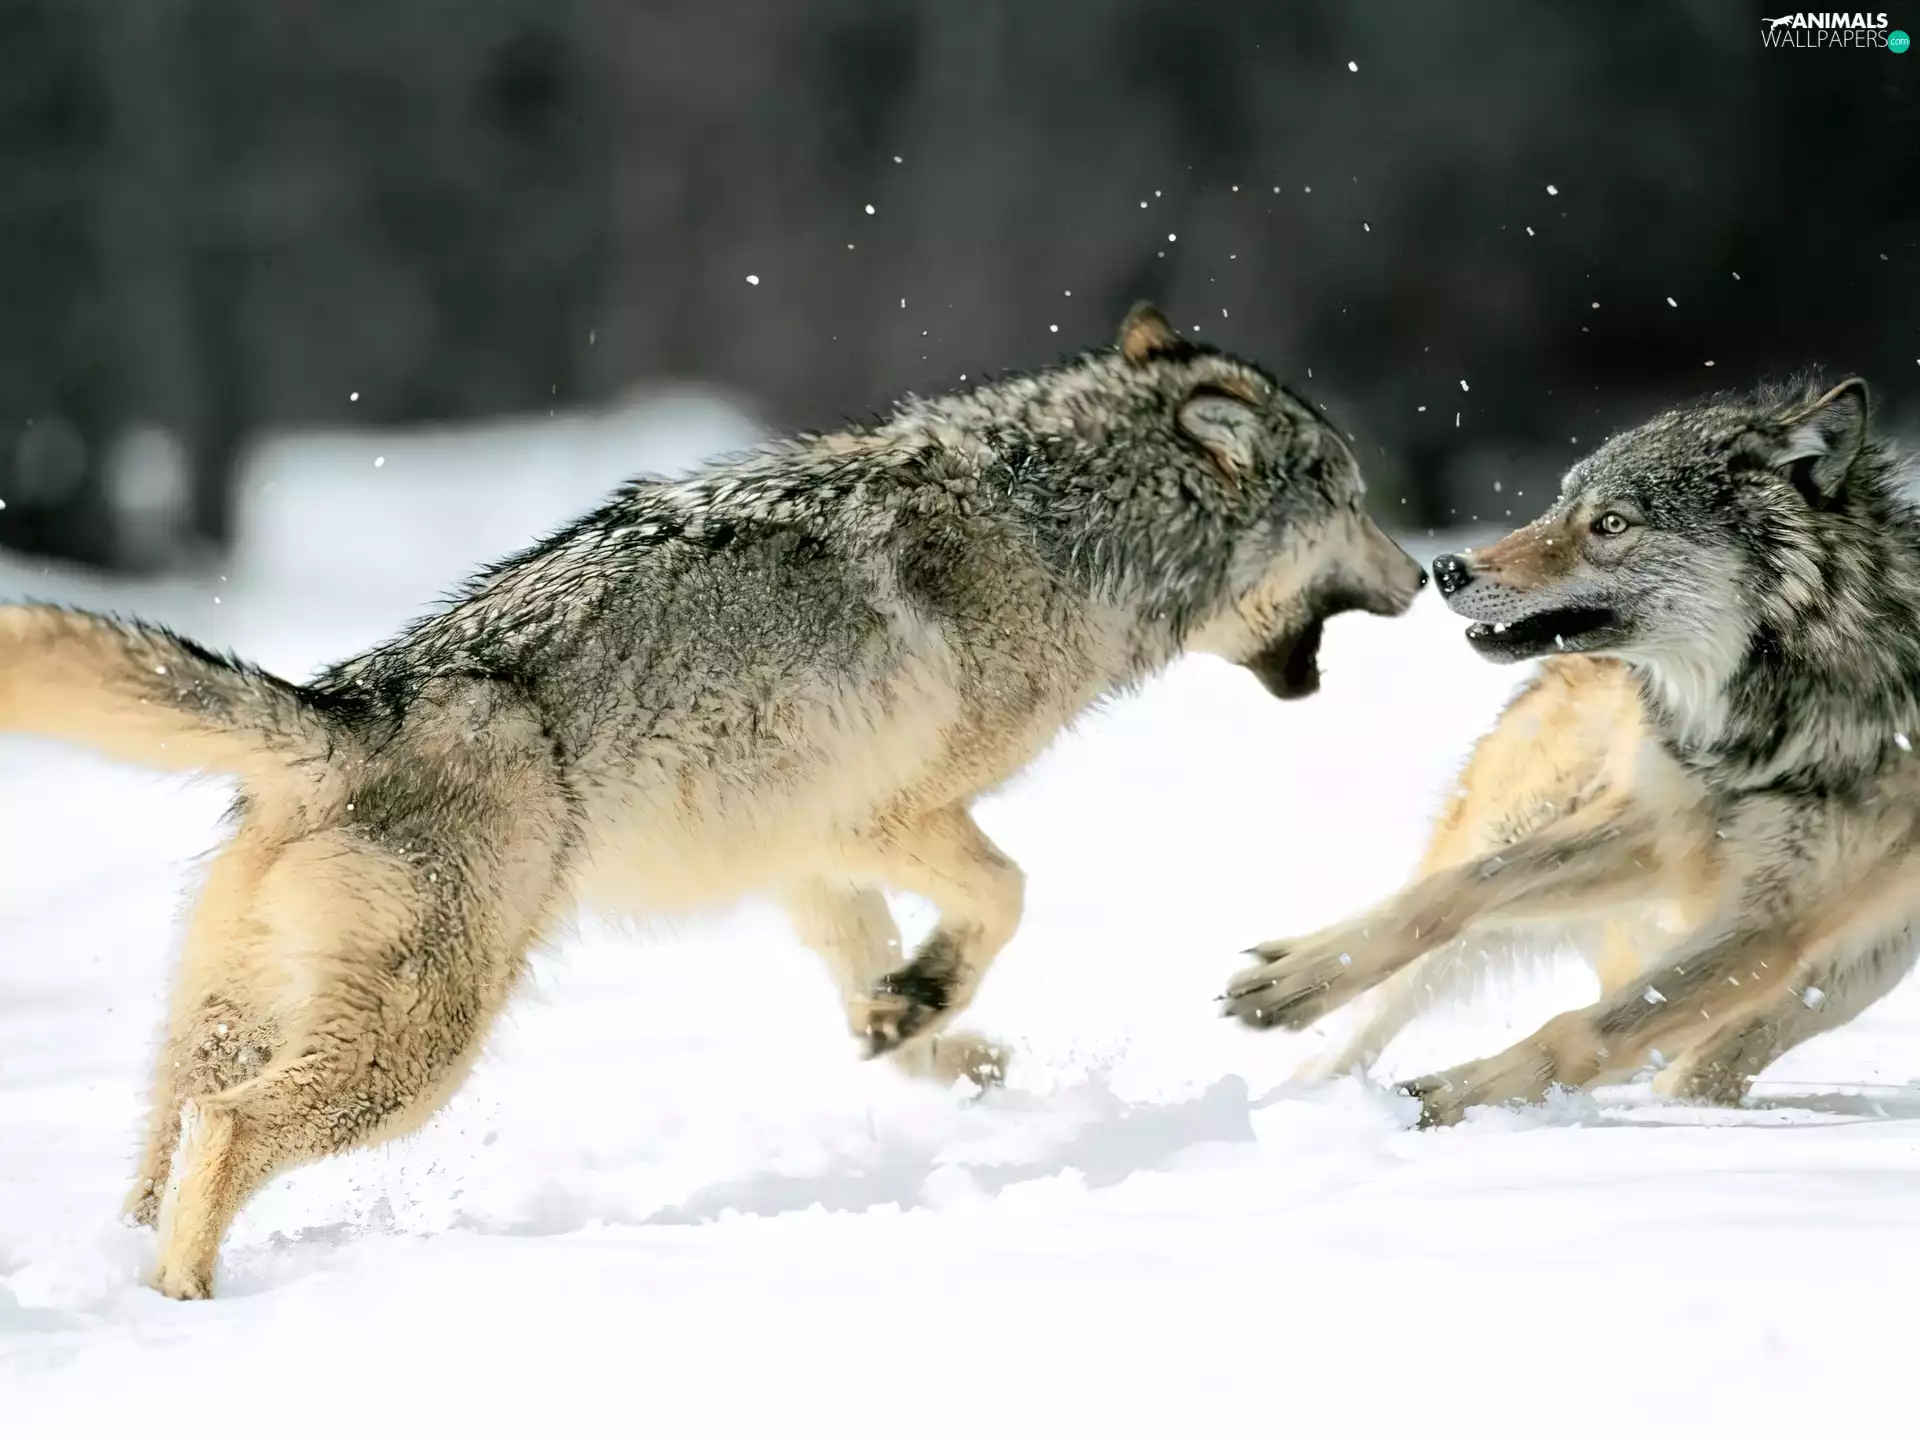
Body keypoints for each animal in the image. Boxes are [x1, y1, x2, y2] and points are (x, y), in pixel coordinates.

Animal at [0, 303, 1424, 1297]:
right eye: (1356, 500)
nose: (1423, 578)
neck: (1064, 529)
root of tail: (345, 705)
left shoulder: (801, 854)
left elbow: (877, 981)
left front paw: (920, 1030)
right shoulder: (883, 817)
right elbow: (1011, 893)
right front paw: (929, 1009)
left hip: (230, 1026)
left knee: (164, 1153)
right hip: (412, 1058)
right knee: (230, 1133)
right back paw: (195, 1307)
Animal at [1224, 376, 1920, 1125]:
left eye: (1612, 524)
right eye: (1561, 503)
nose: (1447, 567)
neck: (1761, 726)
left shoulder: (1774, 919)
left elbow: (1590, 1030)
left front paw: (1452, 1100)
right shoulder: (1653, 823)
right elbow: (1460, 889)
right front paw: (1292, 981)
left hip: (1866, 958)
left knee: (1714, 1048)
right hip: (1526, 817)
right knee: (1393, 989)